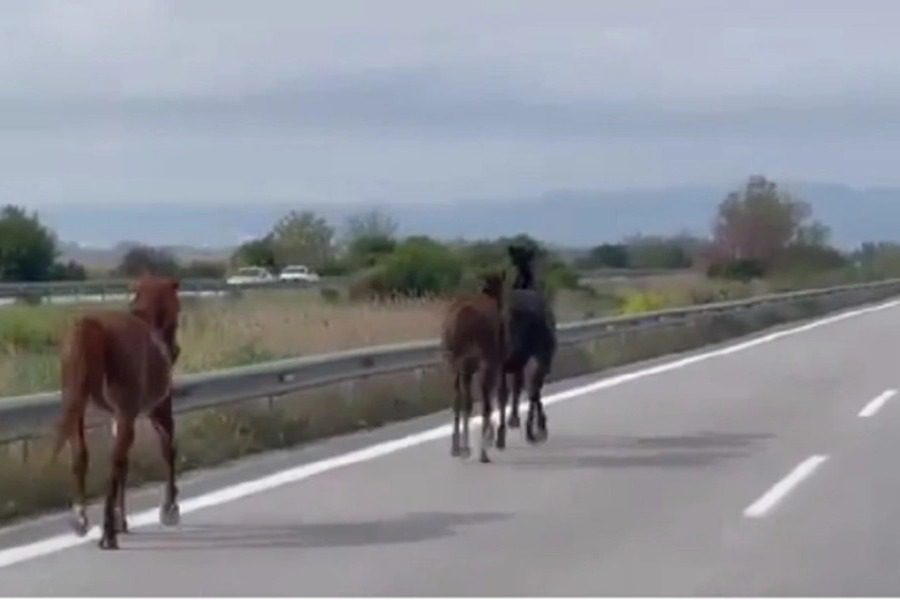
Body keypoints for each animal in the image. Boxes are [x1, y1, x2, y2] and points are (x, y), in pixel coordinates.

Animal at [51, 274, 182, 552]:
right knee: (114, 462)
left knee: (82, 456)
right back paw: (108, 533)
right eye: (178, 307)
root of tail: (90, 326)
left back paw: (82, 518)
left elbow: (126, 463)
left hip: (77, 407)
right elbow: (168, 451)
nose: (175, 351)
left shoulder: (120, 417)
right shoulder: (157, 411)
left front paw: (123, 519)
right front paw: (169, 508)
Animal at [442, 272, 506, 464]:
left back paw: (457, 448)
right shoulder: (495, 361)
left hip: (455, 363)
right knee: (477, 400)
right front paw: (494, 437)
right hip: (476, 361)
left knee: (458, 400)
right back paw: (479, 450)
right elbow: (492, 397)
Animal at [496, 245, 560, 450]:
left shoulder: (516, 362)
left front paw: (514, 420)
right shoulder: (532, 360)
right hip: (536, 356)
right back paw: (534, 432)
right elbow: (528, 389)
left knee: (509, 392)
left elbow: (517, 388)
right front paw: (538, 425)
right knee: (531, 389)